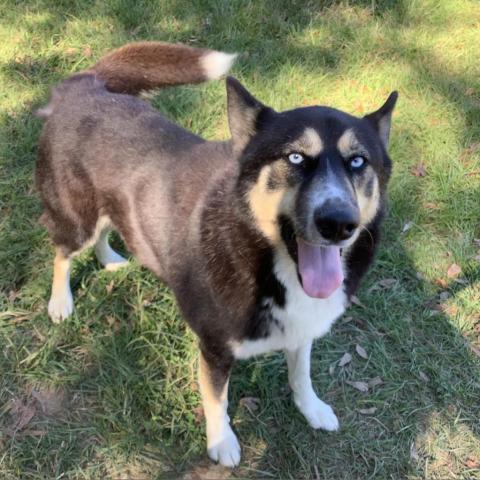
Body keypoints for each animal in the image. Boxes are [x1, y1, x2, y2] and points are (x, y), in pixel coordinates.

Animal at [35, 41, 398, 464]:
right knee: (62, 253)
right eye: (294, 157)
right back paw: (61, 301)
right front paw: (221, 441)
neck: (266, 262)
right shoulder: (214, 347)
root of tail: (84, 86)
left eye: (358, 161)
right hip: (75, 216)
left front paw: (312, 408)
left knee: (105, 231)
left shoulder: (301, 328)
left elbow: (301, 372)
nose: (339, 223)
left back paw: (109, 259)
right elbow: (217, 400)